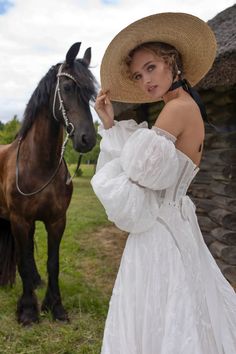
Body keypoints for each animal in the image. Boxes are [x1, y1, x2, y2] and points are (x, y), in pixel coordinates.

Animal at [0, 42, 97, 324]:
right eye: (67, 87)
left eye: (91, 94)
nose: (87, 139)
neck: (38, 165)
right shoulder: (20, 220)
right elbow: (23, 261)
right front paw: (28, 311)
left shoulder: (56, 220)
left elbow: (52, 263)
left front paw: (55, 307)